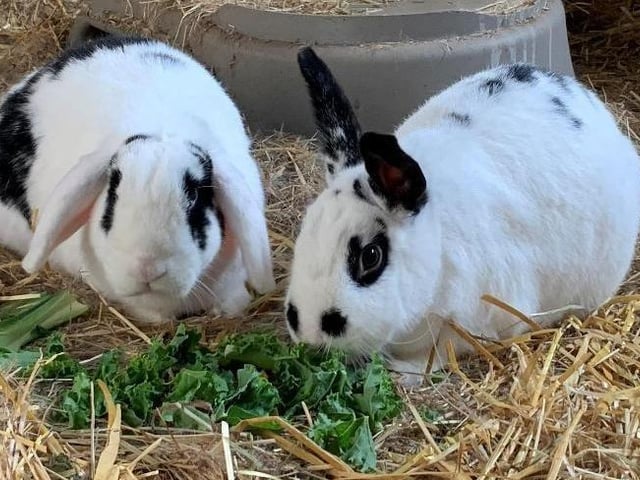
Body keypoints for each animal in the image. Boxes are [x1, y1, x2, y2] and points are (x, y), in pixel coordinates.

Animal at [284, 47, 640, 386]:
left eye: (370, 256)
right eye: (306, 229)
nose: (309, 331)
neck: (438, 243)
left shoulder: (476, 320)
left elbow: (441, 351)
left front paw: (404, 373)